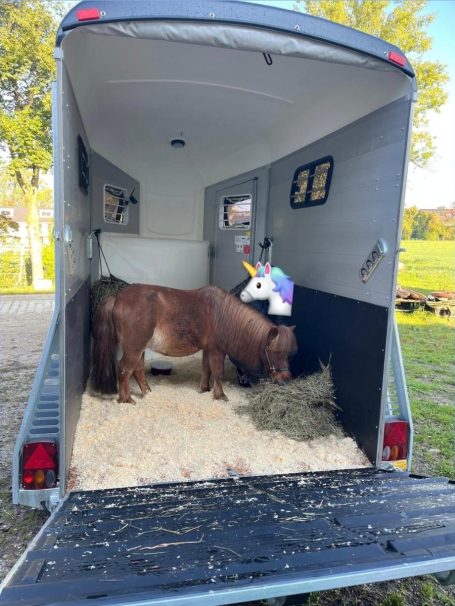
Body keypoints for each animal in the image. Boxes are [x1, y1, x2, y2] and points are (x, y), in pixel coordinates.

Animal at [91, 284, 297, 403]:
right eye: (274, 351)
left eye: (288, 353)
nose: (285, 379)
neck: (223, 315)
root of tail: (117, 298)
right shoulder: (217, 351)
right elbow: (218, 373)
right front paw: (220, 396)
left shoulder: (208, 350)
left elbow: (207, 370)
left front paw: (205, 390)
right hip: (134, 349)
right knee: (124, 370)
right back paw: (126, 399)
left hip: (139, 349)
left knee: (137, 370)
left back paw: (147, 393)